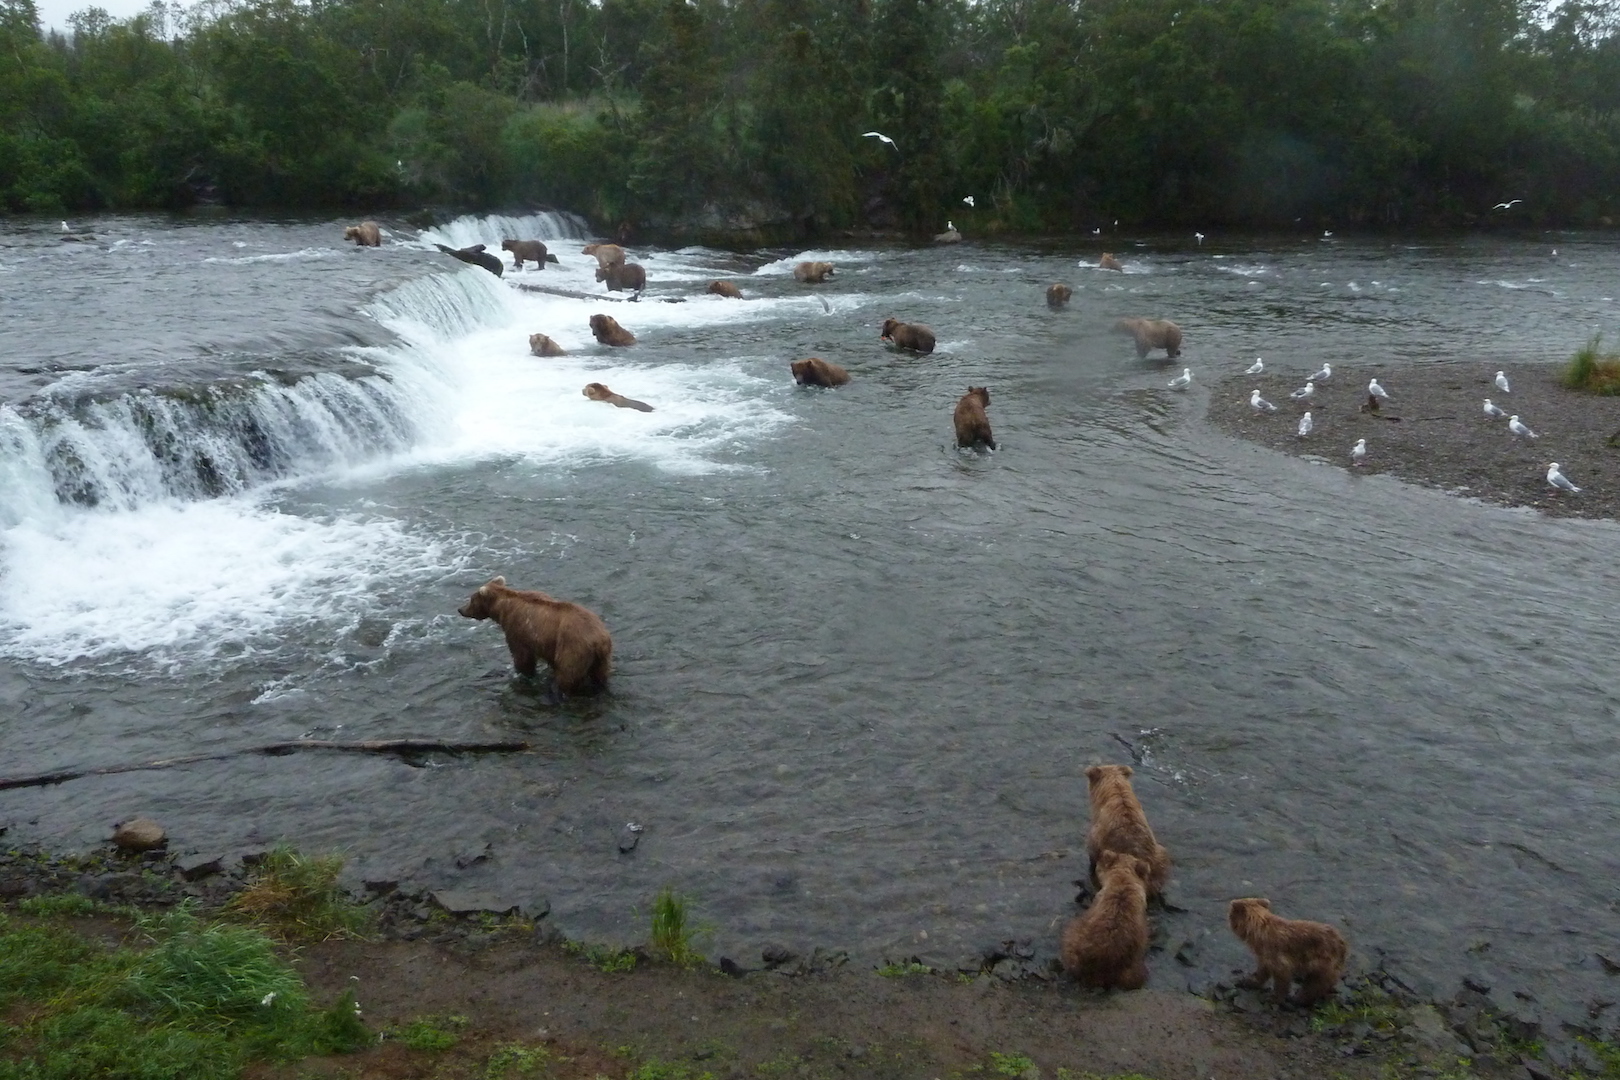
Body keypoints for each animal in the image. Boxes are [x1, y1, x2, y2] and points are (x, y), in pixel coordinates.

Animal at [457, 576, 612, 696]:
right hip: (601, 657)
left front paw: (523, 674)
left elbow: (522, 657)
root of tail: (599, 640)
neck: (501, 609)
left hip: (573, 647)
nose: (460, 609)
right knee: (600, 675)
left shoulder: (517, 629)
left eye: (471, 599)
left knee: (567, 676)